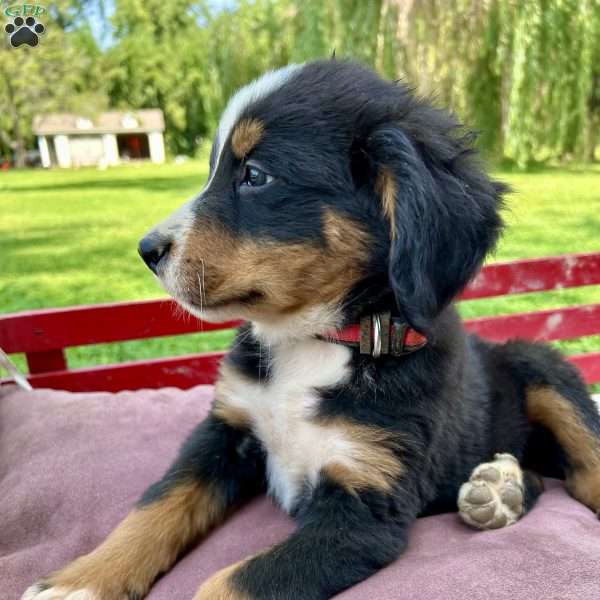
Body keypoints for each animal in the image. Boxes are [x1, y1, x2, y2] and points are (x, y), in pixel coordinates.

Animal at [25, 61, 600, 600]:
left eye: (256, 175)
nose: (147, 251)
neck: (313, 342)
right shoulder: (225, 430)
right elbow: (157, 503)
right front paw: (81, 580)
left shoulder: (364, 506)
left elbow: (230, 581)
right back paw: (498, 488)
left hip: (540, 364)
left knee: (583, 466)